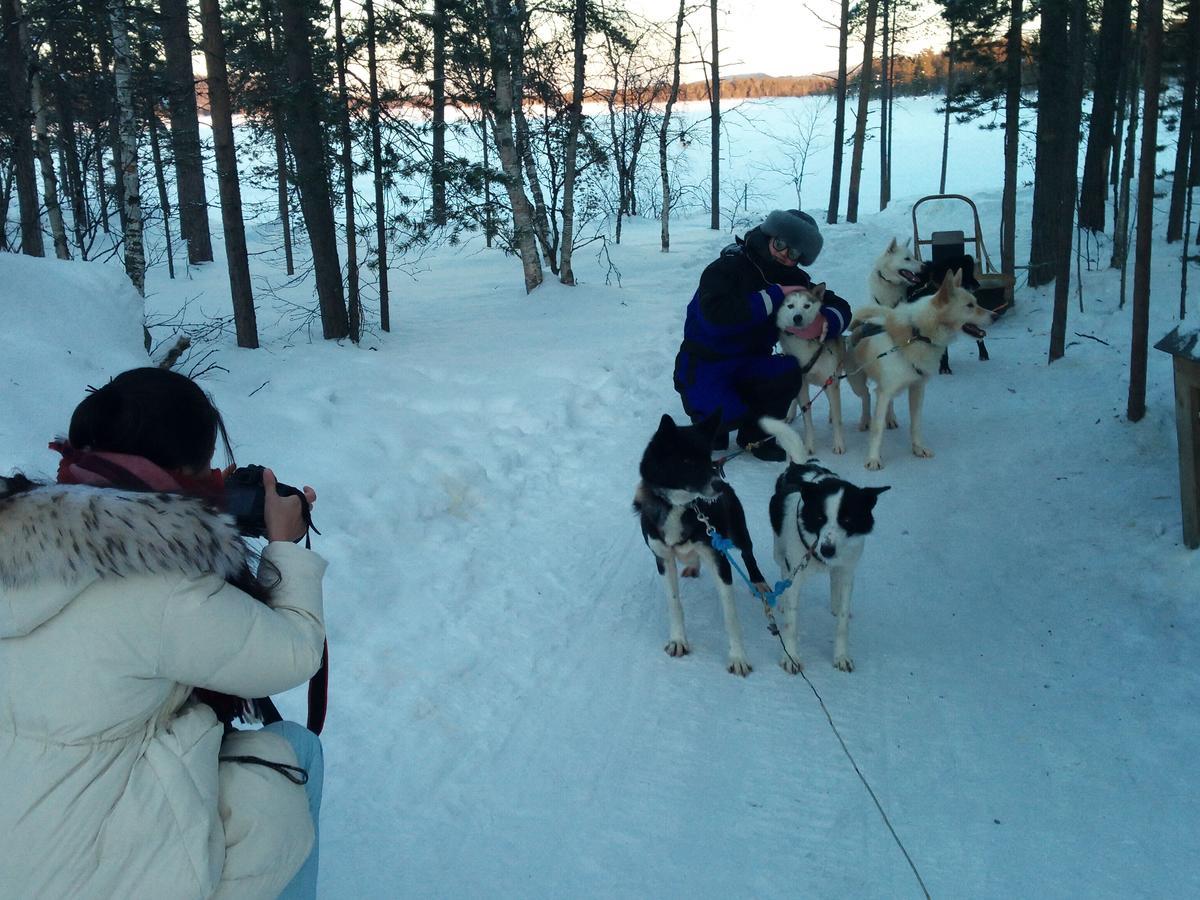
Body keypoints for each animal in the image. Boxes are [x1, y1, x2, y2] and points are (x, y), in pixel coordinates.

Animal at [633, 412, 763, 672]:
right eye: (687, 461)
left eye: (707, 459)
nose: (719, 485)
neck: (680, 507)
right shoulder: (663, 558)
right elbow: (674, 603)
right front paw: (678, 640)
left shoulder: (718, 558)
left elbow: (730, 614)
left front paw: (738, 657)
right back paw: (693, 565)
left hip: (738, 532)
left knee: (748, 554)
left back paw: (759, 582)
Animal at [758, 420, 892, 672]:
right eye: (820, 517)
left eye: (847, 520)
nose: (827, 550)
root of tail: (801, 464)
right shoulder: (795, 571)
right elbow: (791, 622)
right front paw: (791, 657)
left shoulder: (847, 569)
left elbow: (842, 622)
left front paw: (841, 655)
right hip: (779, 550)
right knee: (783, 570)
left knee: (834, 580)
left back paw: (835, 602)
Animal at [772, 283, 849, 453]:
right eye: (790, 306)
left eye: (806, 306)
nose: (797, 317)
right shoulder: (802, 384)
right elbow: (807, 420)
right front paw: (808, 446)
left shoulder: (830, 380)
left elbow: (838, 419)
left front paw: (839, 444)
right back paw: (790, 414)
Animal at [844, 267, 993, 472]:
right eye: (969, 305)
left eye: (976, 302)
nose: (995, 315)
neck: (918, 334)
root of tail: (860, 325)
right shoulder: (885, 392)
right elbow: (877, 430)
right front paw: (873, 458)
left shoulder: (917, 388)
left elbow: (915, 425)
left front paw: (918, 448)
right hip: (857, 382)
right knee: (866, 396)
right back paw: (866, 419)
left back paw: (890, 418)